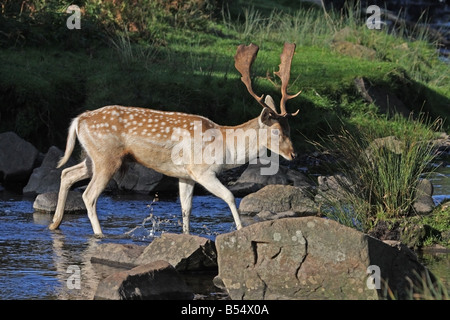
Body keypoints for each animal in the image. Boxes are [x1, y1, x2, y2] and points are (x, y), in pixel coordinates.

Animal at [49, 42, 300, 236]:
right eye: (277, 131)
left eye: (290, 128)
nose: (293, 154)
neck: (225, 146)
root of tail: (79, 119)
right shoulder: (202, 170)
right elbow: (229, 196)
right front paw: (240, 229)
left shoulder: (185, 174)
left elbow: (186, 208)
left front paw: (187, 234)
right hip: (107, 157)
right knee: (89, 195)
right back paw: (99, 234)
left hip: (93, 156)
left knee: (67, 173)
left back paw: (55, 223)